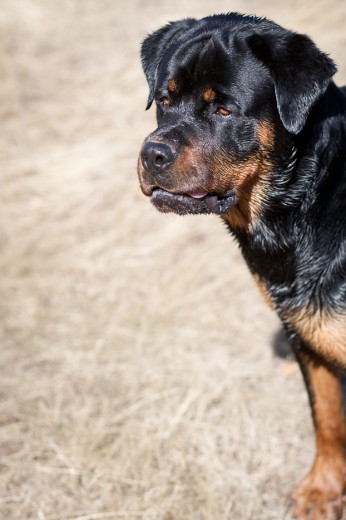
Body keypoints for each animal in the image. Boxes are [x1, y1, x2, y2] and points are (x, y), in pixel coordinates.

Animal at [137, 13, 346, 520]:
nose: (152, 154)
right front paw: (322, 490)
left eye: (224, 111)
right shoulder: (302, 326)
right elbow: (327, 417)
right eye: (165, 101)